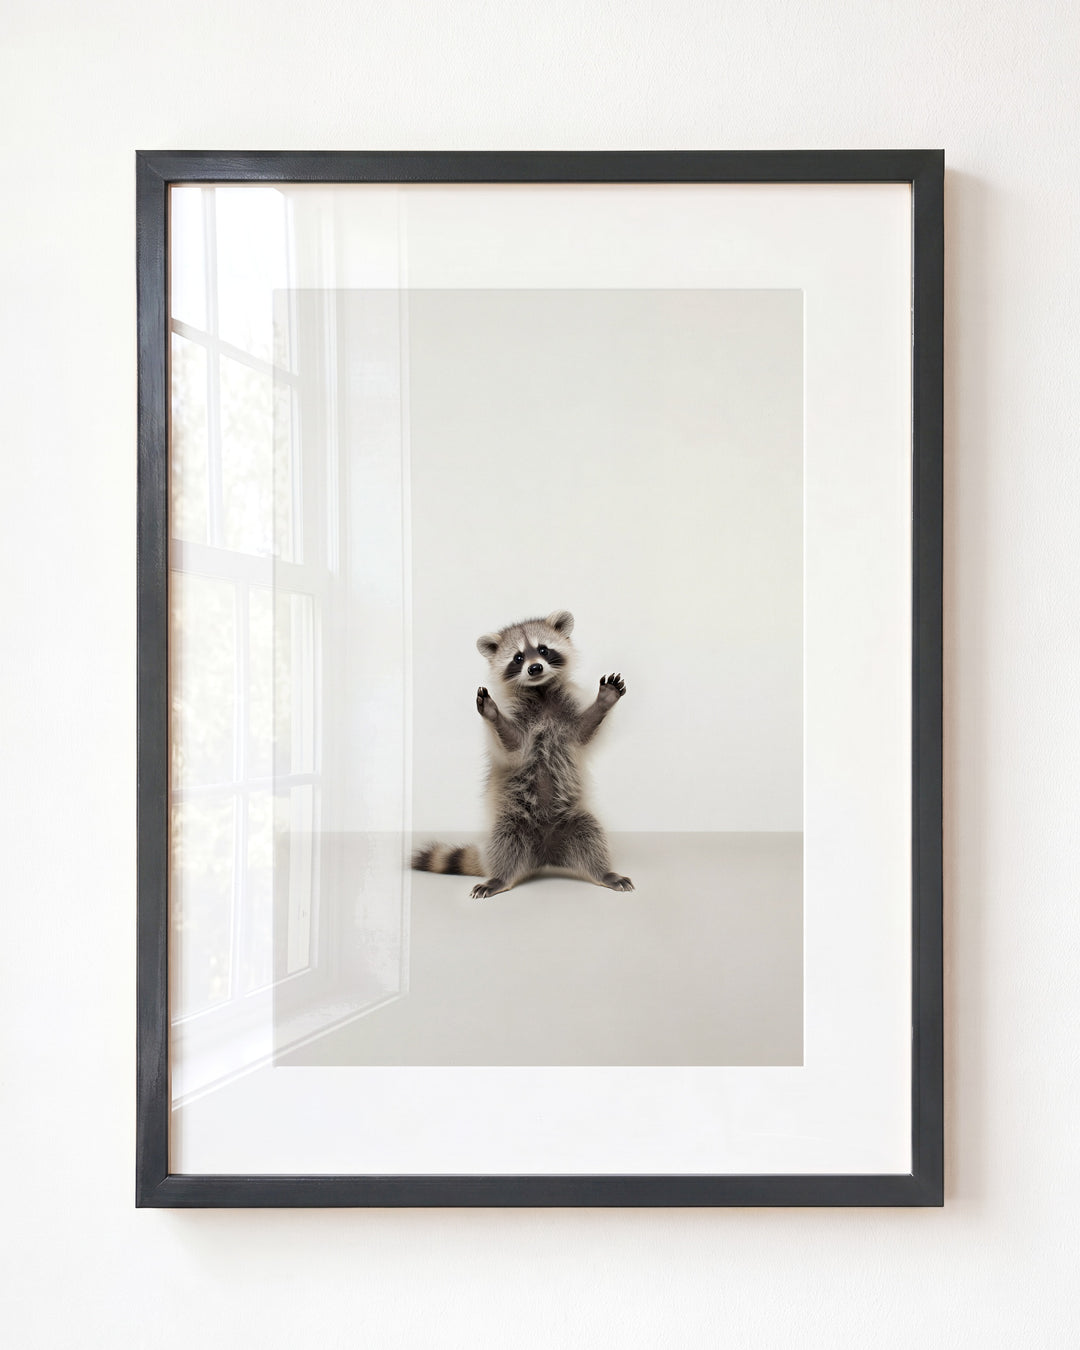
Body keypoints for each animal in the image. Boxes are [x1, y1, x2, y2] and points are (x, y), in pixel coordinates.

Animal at [412, 610, 633, 898]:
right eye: (518, 658)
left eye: (543, 650)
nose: (535, 668)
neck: (540, 691)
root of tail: (546, 856)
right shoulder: (518, 719)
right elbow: (513, 746)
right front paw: (493, 715)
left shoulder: (567, 714)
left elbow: (583, 733)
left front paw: (603, 702)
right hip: (511, 821)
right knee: (505, 843)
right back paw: (499, 878)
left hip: (575, 819)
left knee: (592, 835)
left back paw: (604, 873)